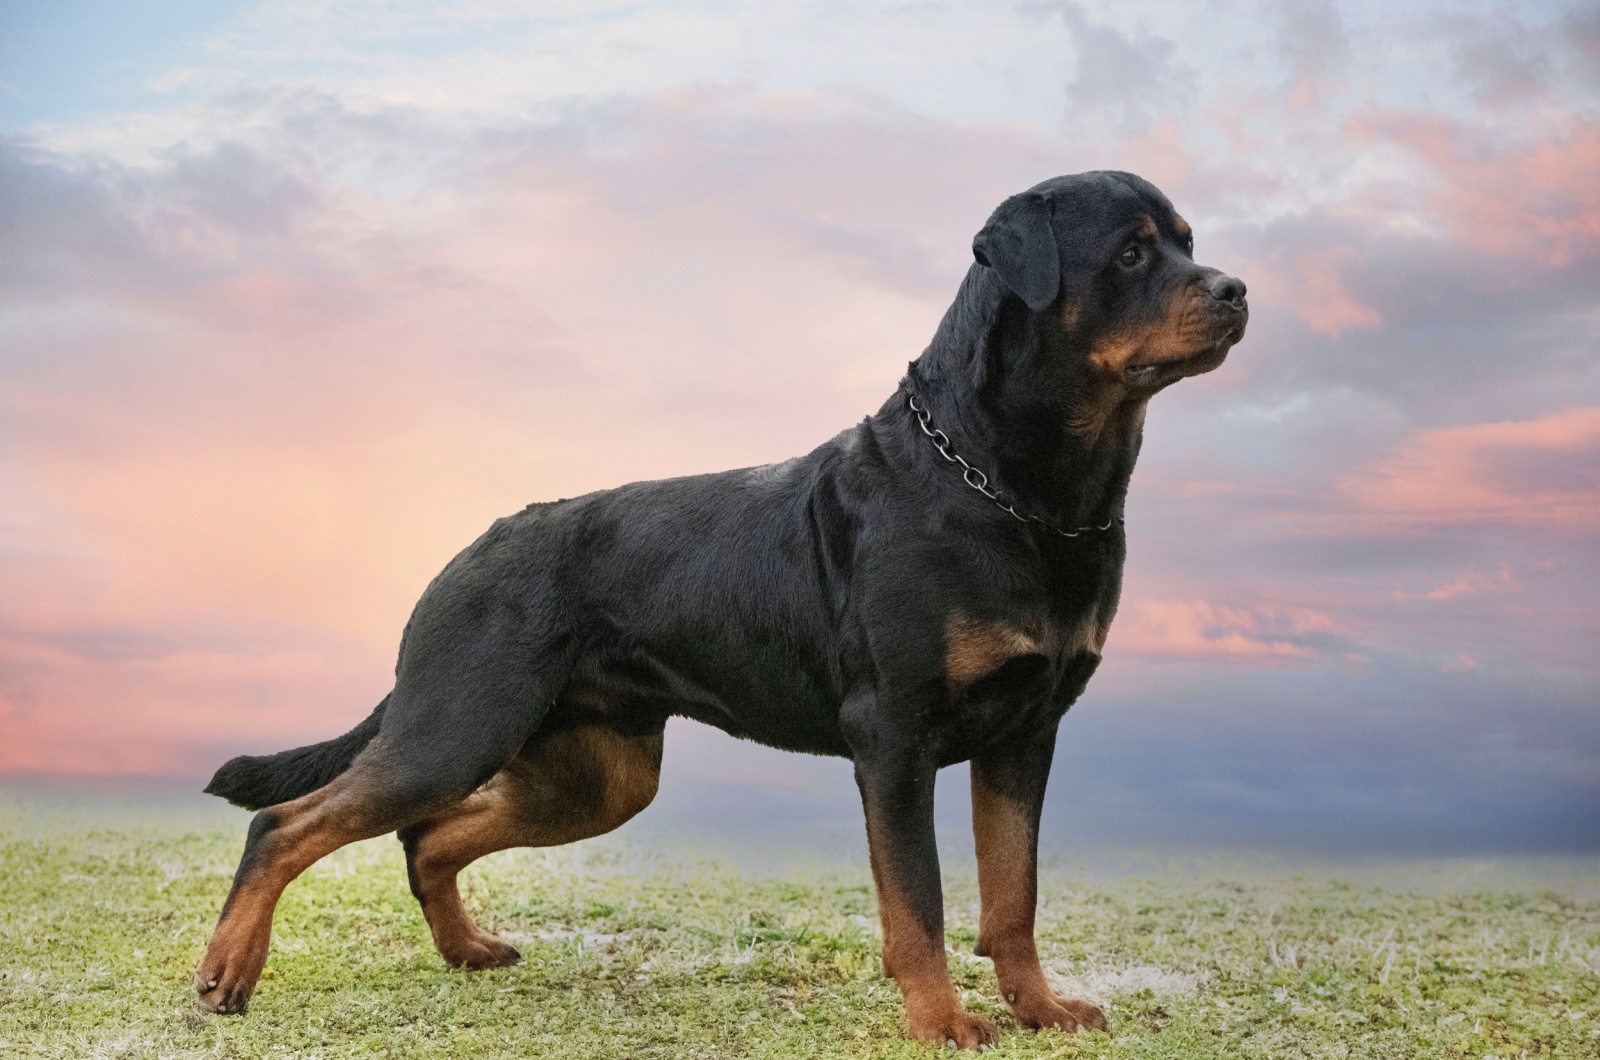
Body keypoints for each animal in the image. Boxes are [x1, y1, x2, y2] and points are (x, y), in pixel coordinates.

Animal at [200, 170, 1248, 1050]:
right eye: (1131, 254)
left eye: (1189, 243)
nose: (1237, 289)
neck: (1014, 485)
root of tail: (465, 554)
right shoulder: (895, 736)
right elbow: (922, 904)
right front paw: (943, 1022)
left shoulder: (1025, 734)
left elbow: (1012, 895)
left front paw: (1040, 1008)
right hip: (457, 724)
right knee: (288, 824)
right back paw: (228, 972)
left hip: (596, 776)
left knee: (426, 835)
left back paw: (466, 950)